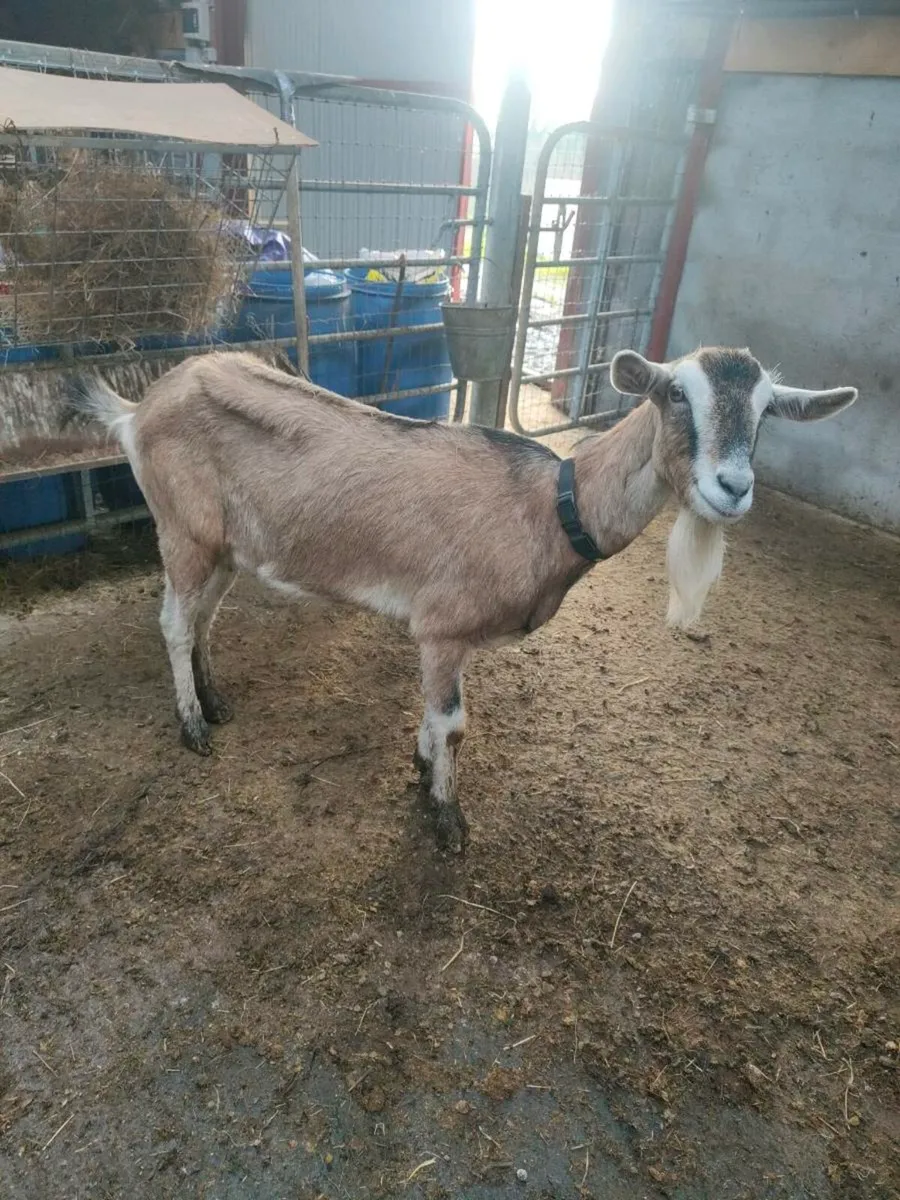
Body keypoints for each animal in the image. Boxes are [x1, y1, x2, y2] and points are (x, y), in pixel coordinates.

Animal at [71, 347, 857, 852]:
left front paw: (422, 771)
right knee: (174, 622)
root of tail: (140, 408)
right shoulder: (441, 628)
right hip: (183, 529)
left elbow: (435, 716)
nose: (733, 488)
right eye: (674, 395)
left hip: (227, 546)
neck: (549, 506)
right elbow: (453, 722)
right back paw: (192, 726)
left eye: (767, 413)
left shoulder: (453, 640)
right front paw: (446, 819)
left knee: (204, 616)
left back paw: (215, 700)